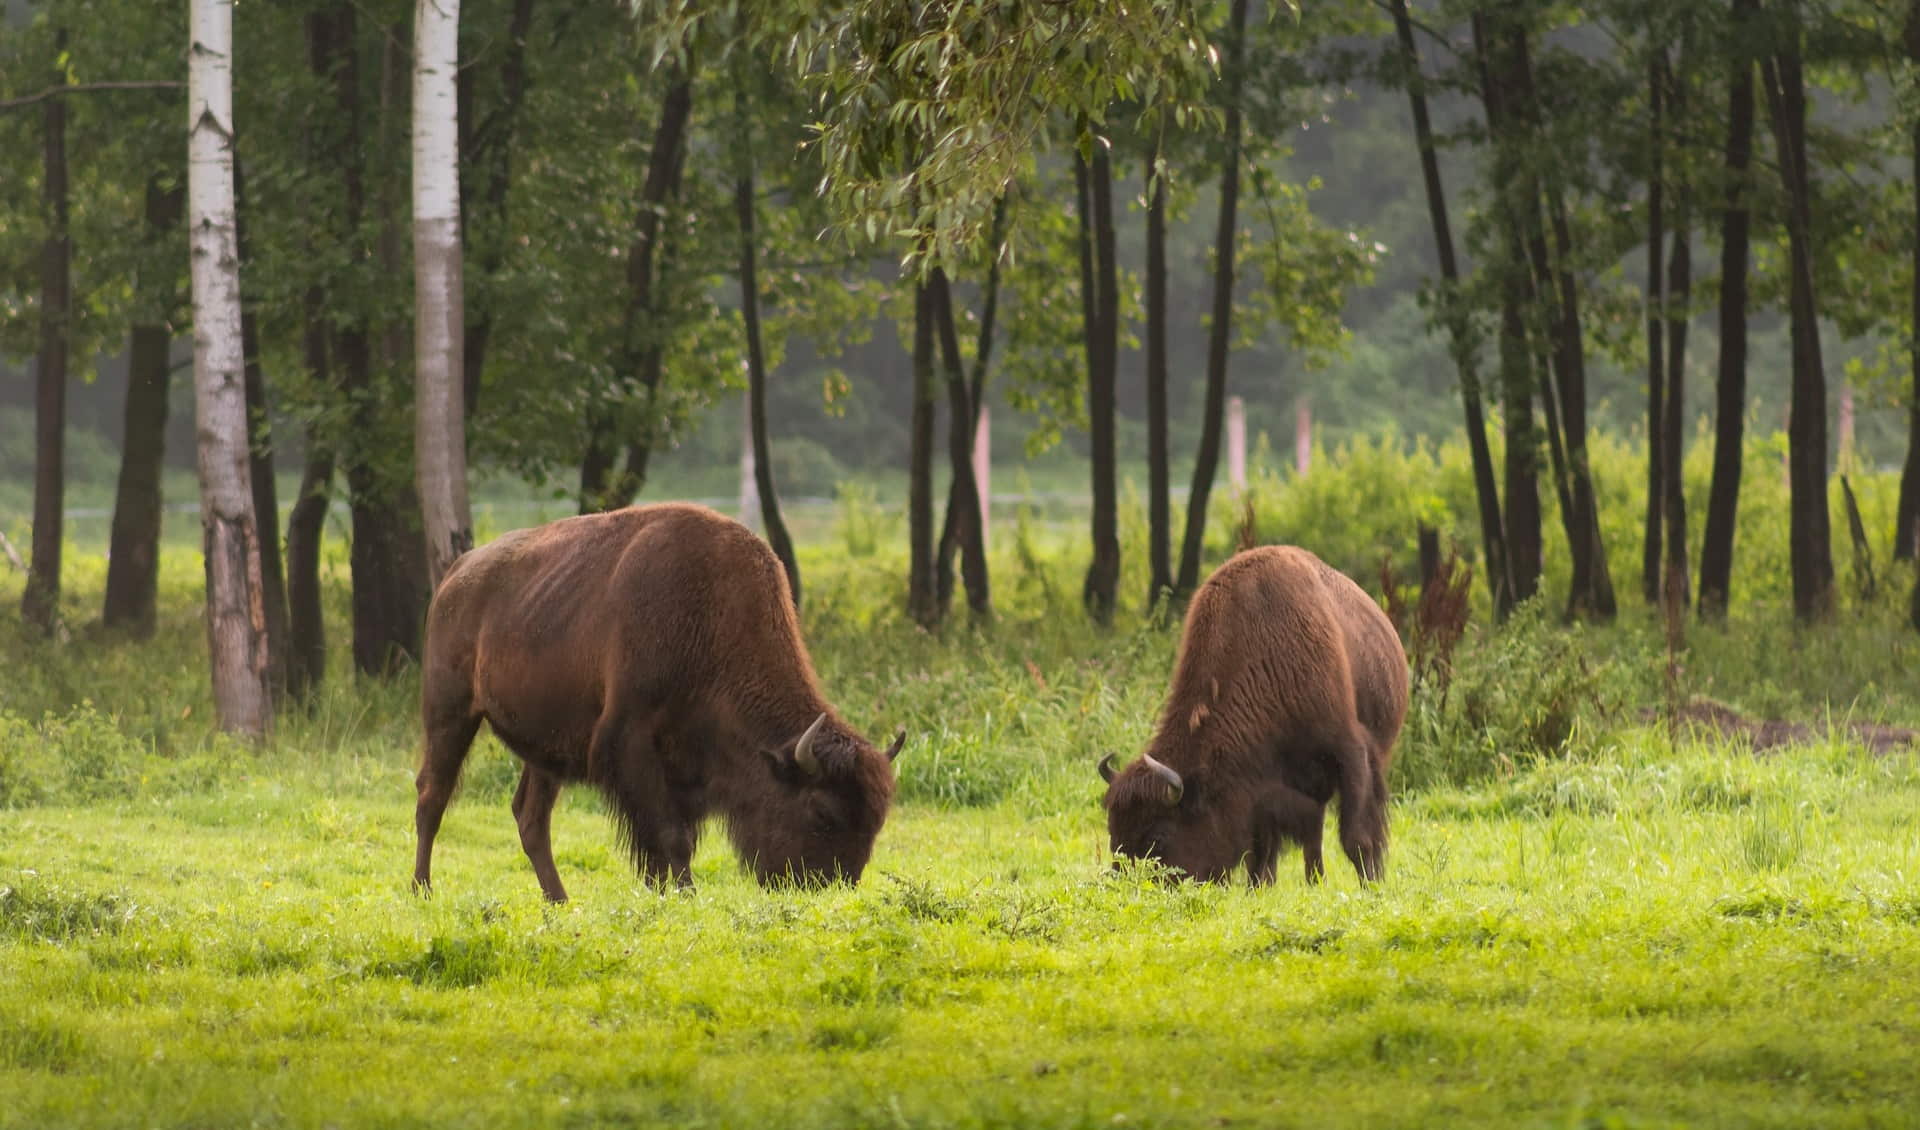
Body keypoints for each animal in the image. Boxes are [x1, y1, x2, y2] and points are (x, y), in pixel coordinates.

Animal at [410, 502, 898, 897]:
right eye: (822, 813)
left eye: (876, 822)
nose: (831, 886)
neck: (711, 617)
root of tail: (456, 575)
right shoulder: (633, 746)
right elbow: (669, 837)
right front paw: (686, 896)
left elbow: (669, 842)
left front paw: (660, 895)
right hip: (450, 713)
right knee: (432, 795)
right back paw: (423, 890)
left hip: (546, 747)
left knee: (530, 817)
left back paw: (560, 902)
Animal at [1098, 544, 1413, 882]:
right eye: (1113, 831)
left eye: (1158, 836)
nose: (1127, 883)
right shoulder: (1261, 787)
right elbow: (1262, 851)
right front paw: (1259, 886)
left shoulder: (1350, 752)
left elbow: (1357, 836)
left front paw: (1373, 884)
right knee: (1312, 837)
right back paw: (1314, 881)